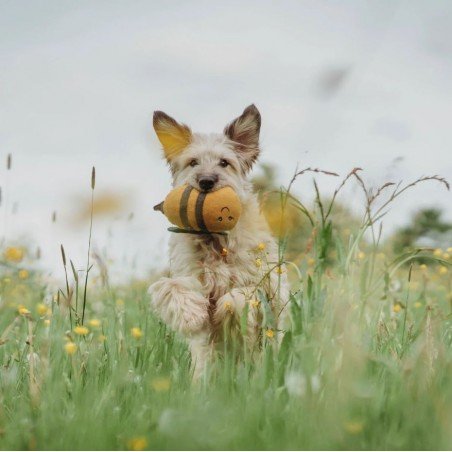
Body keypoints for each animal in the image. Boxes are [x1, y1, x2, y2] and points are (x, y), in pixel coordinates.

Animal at [148, 104, 290, 376]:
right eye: (193, 162)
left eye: (225, 163)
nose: (206, 181)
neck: (214, 238)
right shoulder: (191, 276)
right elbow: (170, 286)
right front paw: (191, 315)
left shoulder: (264, 285)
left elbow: (239, 296)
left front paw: (230, 313)